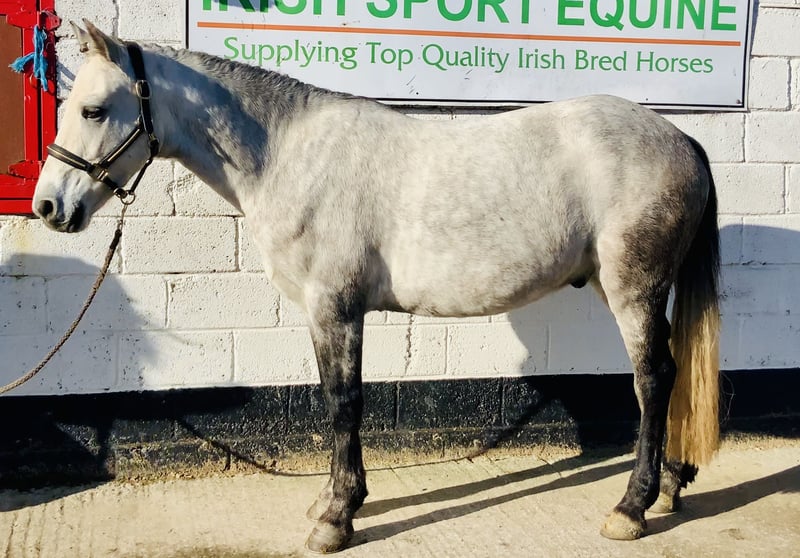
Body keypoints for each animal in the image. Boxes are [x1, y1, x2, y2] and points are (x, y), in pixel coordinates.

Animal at [33, 21, 720, 553]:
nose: (48, 207)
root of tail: (681, 137)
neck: (287, 154)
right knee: (671, 373)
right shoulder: (325, 312)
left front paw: (338, 518)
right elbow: (334, 399)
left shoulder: (335, 307)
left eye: (93, 110)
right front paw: (330, 502)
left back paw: (631, 508)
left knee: (654, 378)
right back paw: (669, 489)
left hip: (632, 287)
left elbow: (344, 402)